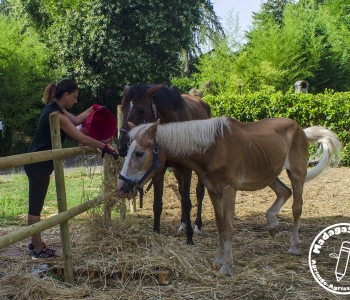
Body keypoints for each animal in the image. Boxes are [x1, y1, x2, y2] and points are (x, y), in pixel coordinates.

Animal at [117, 83, 211, 243]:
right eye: (123, 108)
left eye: (142, 110)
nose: (123, 146)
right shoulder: (159, 170)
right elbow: (158, 204)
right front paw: (156, 231)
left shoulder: (187, 169)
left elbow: (187, 202)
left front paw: (190, 238)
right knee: (181, 192)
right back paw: (183, 223)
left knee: (199, 192)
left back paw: (197, 226)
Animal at [117, 116, 342, 276]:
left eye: (139, 153)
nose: (121, 188)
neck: (212, 148)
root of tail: (302, 131)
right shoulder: (213, 190)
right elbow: (219, 225)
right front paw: (219, 259)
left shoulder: (228, 190)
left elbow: (228, 227)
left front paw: (227, 266)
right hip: (269, 173)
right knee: (283, 192)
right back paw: (272, 224)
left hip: (296, 174)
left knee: (297, 207)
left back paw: (293, 246)